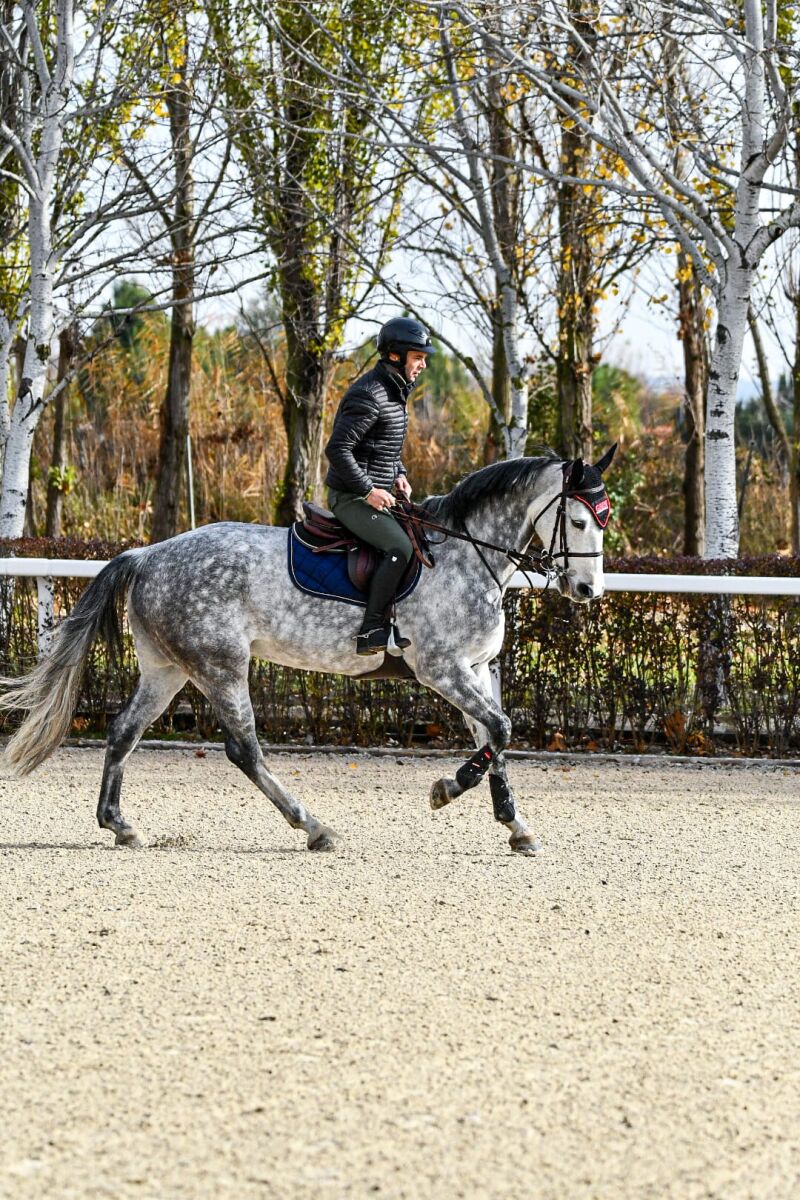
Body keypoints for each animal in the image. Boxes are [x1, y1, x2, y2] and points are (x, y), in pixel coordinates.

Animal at [0, 451, 618, 854]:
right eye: (578, 520)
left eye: (604, 520)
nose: (587, 591)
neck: (469, 556)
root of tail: (148, 554)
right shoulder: (442, 670)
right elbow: (504, 730)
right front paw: (445, 791)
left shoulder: (477, 668)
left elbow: (495, 737)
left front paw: (517, 827)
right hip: (221, 666)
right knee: (244, 751)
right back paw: (314, 827)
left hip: (167, 668)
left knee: (124, 731)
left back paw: (119, 825)